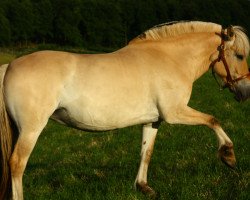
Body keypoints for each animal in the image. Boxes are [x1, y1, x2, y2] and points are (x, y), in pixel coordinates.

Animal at [0, 21, 249, 199]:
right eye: (239, 55)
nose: (245, 91)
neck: (170, 58)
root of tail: (10, 65)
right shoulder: (175, 112)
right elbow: (213, 120)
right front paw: (228, 155)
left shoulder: (154, 120)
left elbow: (146, 152)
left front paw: (143, 187)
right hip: (31, 129)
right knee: (17, 164)